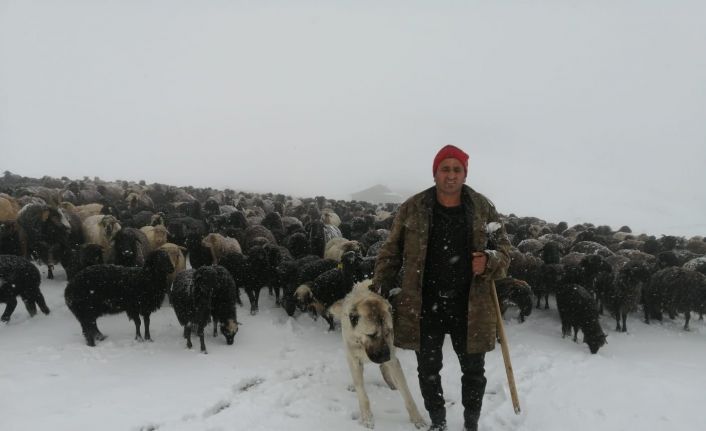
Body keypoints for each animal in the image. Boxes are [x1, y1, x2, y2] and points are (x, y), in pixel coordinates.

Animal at [328, 280, 424, 428]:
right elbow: (362, 393)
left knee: (385, 369)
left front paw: (417, 419)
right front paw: (367, 419)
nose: (385, 356)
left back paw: (392, 383)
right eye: (371, 335)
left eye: (388, 332)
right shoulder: (354, 359)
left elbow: (406, 393)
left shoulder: (392, 358)